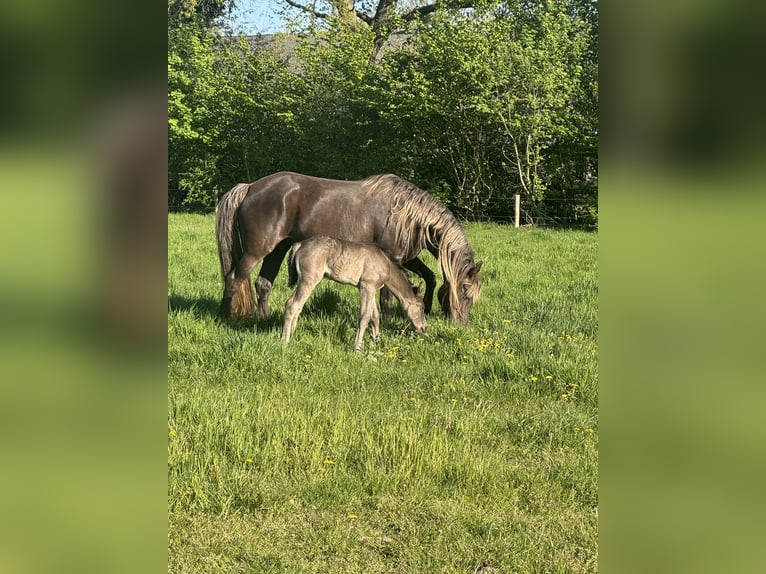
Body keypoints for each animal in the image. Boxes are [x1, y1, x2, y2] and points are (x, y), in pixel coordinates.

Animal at [216, 171, 482, 325]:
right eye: (465, 292)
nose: (461, 324)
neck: (405, 215)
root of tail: (250, 187)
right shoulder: (392, 259)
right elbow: (387, 298)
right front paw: (386, 323)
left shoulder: (406, 258)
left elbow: (430, 277)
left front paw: (425, 307)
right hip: (256, 250)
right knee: (233, 279)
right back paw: (223, 317)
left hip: (277, 250)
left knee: (263, 284)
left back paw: (263, 320)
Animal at [283, 236, 427, 350]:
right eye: (421, 307)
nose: (424, 328)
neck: (386, 263)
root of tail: (299, 244)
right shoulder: (366, 286)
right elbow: (364, 317)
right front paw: (357, 347)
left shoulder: (370, 288)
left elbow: (375, 316)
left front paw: (377, 341)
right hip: (309, 280)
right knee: (292, 304)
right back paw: (285, 341)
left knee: (298, 306)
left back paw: (293, 334)